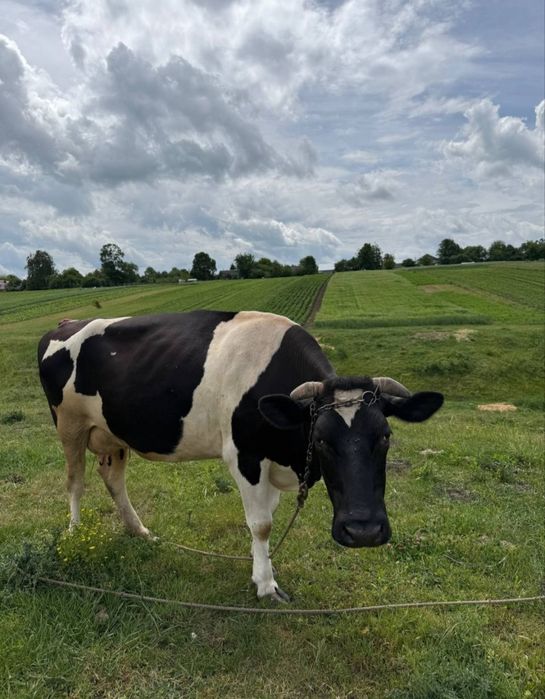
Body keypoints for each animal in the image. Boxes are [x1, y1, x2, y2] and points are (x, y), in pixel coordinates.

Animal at [38, 310, 443, 601]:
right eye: (322, 440)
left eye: (386, 436)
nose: (363, 531)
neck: (290, 455)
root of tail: (65, 323)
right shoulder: (244, 455)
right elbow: (261, 523)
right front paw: (266, 584)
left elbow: (268, 517)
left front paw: (258, 563)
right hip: (69, 424)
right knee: (75, 482)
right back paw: (75, 533)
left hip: (112, 433)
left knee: (113, 479)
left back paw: (138, 530)